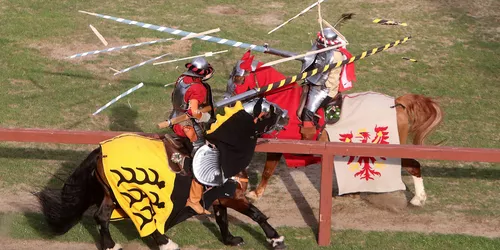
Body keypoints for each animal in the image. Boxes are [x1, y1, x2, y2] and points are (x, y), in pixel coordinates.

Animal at [37, 99, 290, 250]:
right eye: (270, 110)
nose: (287, 116)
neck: (226, 149)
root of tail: (101, 150)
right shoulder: (231, 197)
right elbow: (256, 214)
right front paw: (275, 238)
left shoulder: (219, 197)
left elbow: (223, 219)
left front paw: (230, 240)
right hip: (133, 192)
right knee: (144, 218)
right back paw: (166, 243)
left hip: (111, 194)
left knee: (101, 217)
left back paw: (110, 245)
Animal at [225, 56, 444, 207]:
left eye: (238, 77)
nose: (227, 100)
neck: (283, 98)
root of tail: (396, 104)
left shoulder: (277, 145)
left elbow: (267, 170)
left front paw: (255, 194)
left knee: (414, 165)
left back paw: (418, 199)